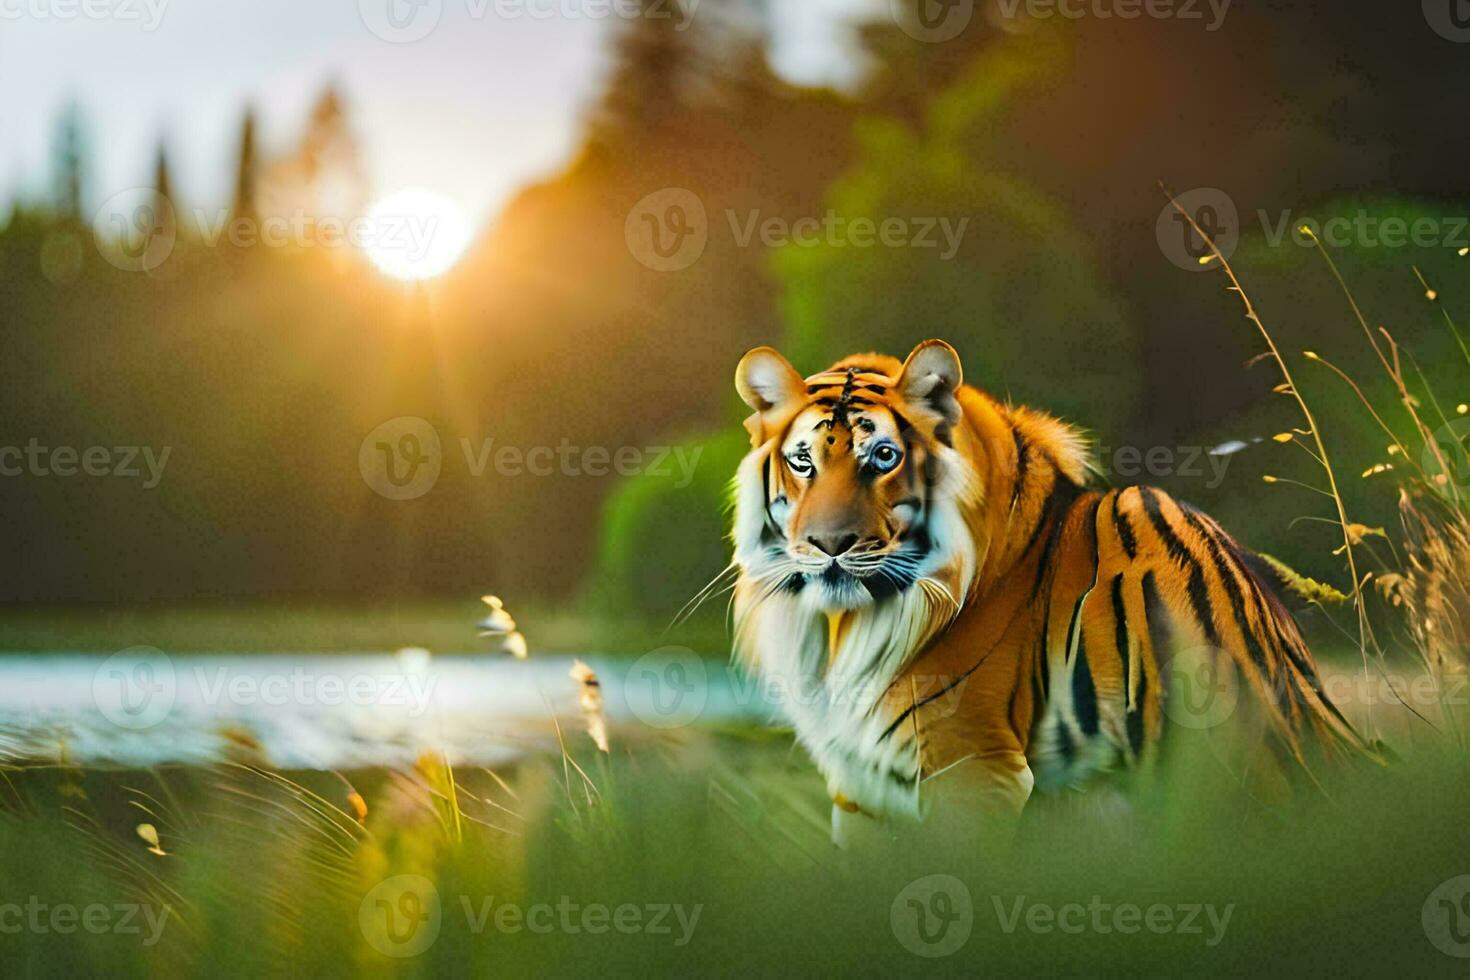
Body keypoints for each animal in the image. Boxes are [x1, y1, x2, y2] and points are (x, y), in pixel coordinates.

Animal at [729, 340, 1370, 840]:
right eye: (803, 462)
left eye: (883, 457)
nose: (829, 543)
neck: (843, 625)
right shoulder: (861, 786)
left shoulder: (970, 766)